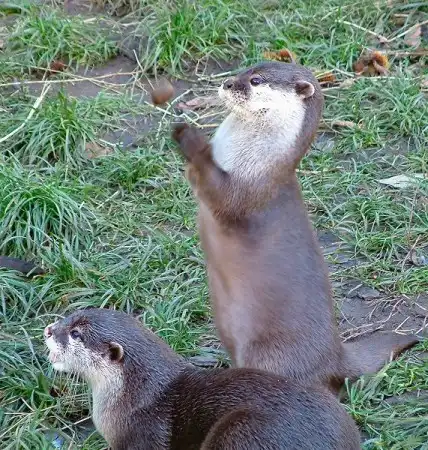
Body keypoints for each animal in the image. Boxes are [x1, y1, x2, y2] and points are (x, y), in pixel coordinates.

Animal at [44, 308, 361, 449]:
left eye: (75, 334)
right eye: (70, 316)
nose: (48, 329)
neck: (135, 400)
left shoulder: (142, 437)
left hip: (243, 433)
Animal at [171, 61, 419, 393]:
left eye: (256, 80)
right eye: (245, 69)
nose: (227, 84)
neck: (253, 158)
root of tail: (335, 357)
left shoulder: (249, 191)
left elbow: (218, 191)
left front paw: (191, 139)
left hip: (273, 356)